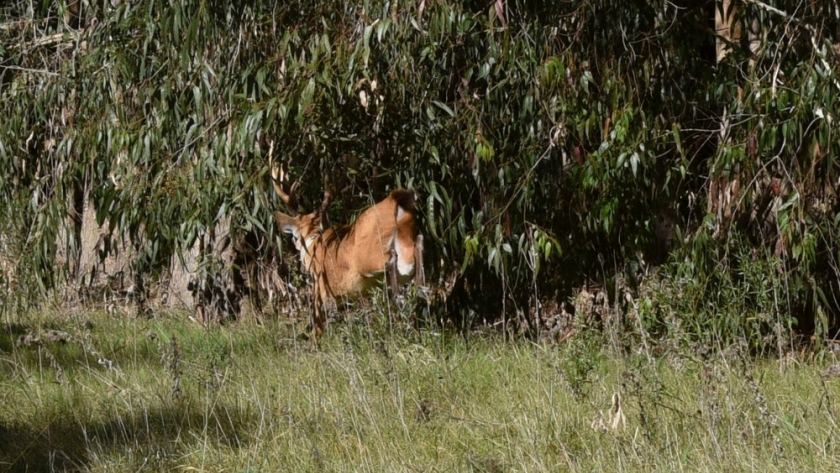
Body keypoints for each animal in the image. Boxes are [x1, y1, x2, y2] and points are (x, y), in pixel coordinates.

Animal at [270, 164, 425, 339]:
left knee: (390, 259)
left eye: (294, 236)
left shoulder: (321, 288)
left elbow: (317, 327)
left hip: (369, 257)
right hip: (405, 249)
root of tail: (394, 200)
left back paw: (400, 300)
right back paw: (420, 294)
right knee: (418, 243)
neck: (313, 242)